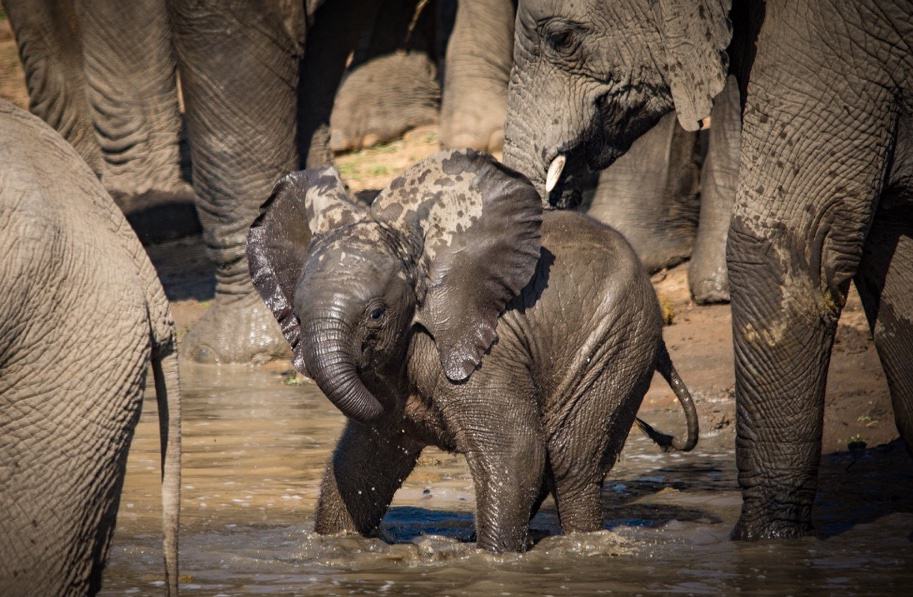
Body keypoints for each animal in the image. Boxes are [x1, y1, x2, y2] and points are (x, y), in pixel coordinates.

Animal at [247, 149, 698, 551]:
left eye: (376, 314)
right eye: (298, 315)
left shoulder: (484, 349)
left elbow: (515, 453)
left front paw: (492, 560)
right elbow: (361, 461)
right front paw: (338, 546)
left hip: (618, 340)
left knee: (572, 465)